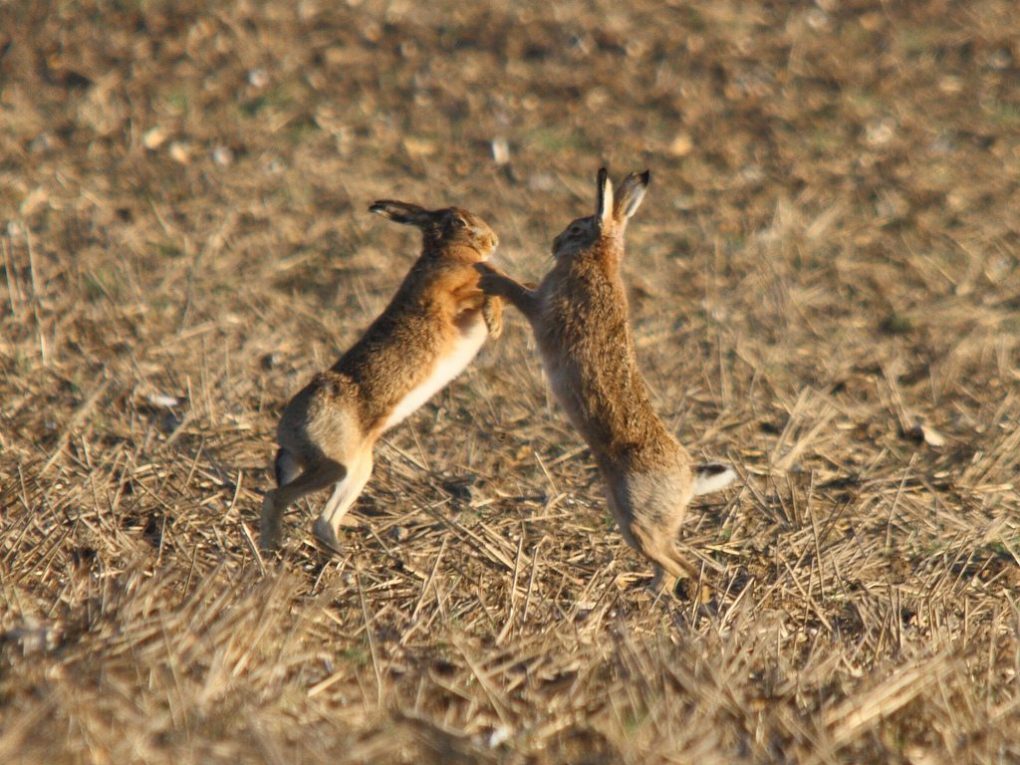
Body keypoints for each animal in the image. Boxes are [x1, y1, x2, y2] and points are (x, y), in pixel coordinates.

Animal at [260, 200, 503, 553]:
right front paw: (495, 324)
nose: (494, 242)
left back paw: (340, 554)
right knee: (276, 496)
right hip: (332, 463)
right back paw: (271, 547)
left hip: (359, 468)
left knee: (323, 520)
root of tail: (285, 433)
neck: (444, 253)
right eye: (459, 221)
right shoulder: (448, 296)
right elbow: (485, 295)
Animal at [476, 168, 736, 590]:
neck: (599, 259)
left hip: (638, 518)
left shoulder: (542, 307)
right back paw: (647, 594)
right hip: (632, 520)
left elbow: (517, 289)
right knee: (673, 564)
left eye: (576, 228)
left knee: (681, 566)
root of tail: (688, 478)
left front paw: (488, 275)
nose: (554, 243)